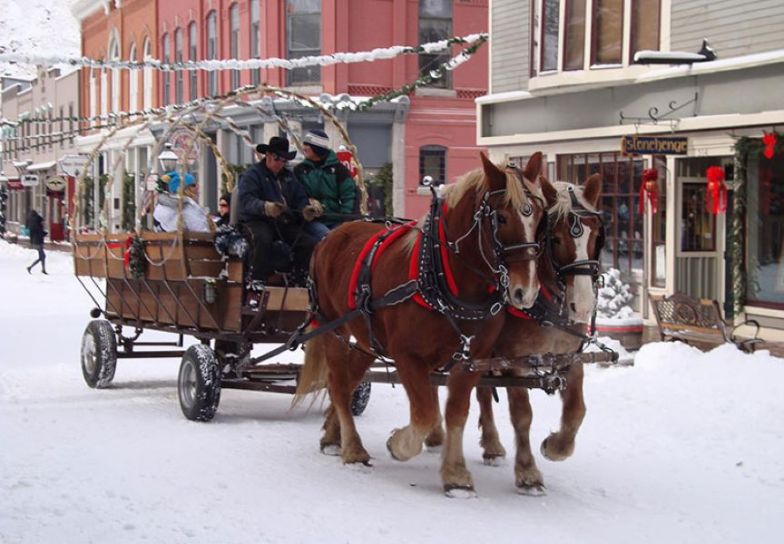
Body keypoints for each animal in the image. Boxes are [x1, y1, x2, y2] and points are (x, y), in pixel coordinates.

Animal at [298, 151, 548, 490]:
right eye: (501, 218)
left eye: (540, 217)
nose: (526, 291)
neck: (444, 276)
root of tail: (331, 236)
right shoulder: (407, 356)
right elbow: (425, 414)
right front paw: (399, 445)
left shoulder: (472, 359)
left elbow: (456, 412)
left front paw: (455, 474)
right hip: (333, 328)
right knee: (338, 383)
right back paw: (353, 449)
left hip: (368, 339)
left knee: (350, 380)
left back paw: (332, 434)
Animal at [444, 172, 604, 496]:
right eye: (555, 238)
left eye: (595, 237)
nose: (582, 305)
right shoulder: (513, 359)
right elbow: (522, 414)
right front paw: (528, 472)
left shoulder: (570, 358)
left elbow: (576, 410)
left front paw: (556, 446)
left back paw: (491, 445)